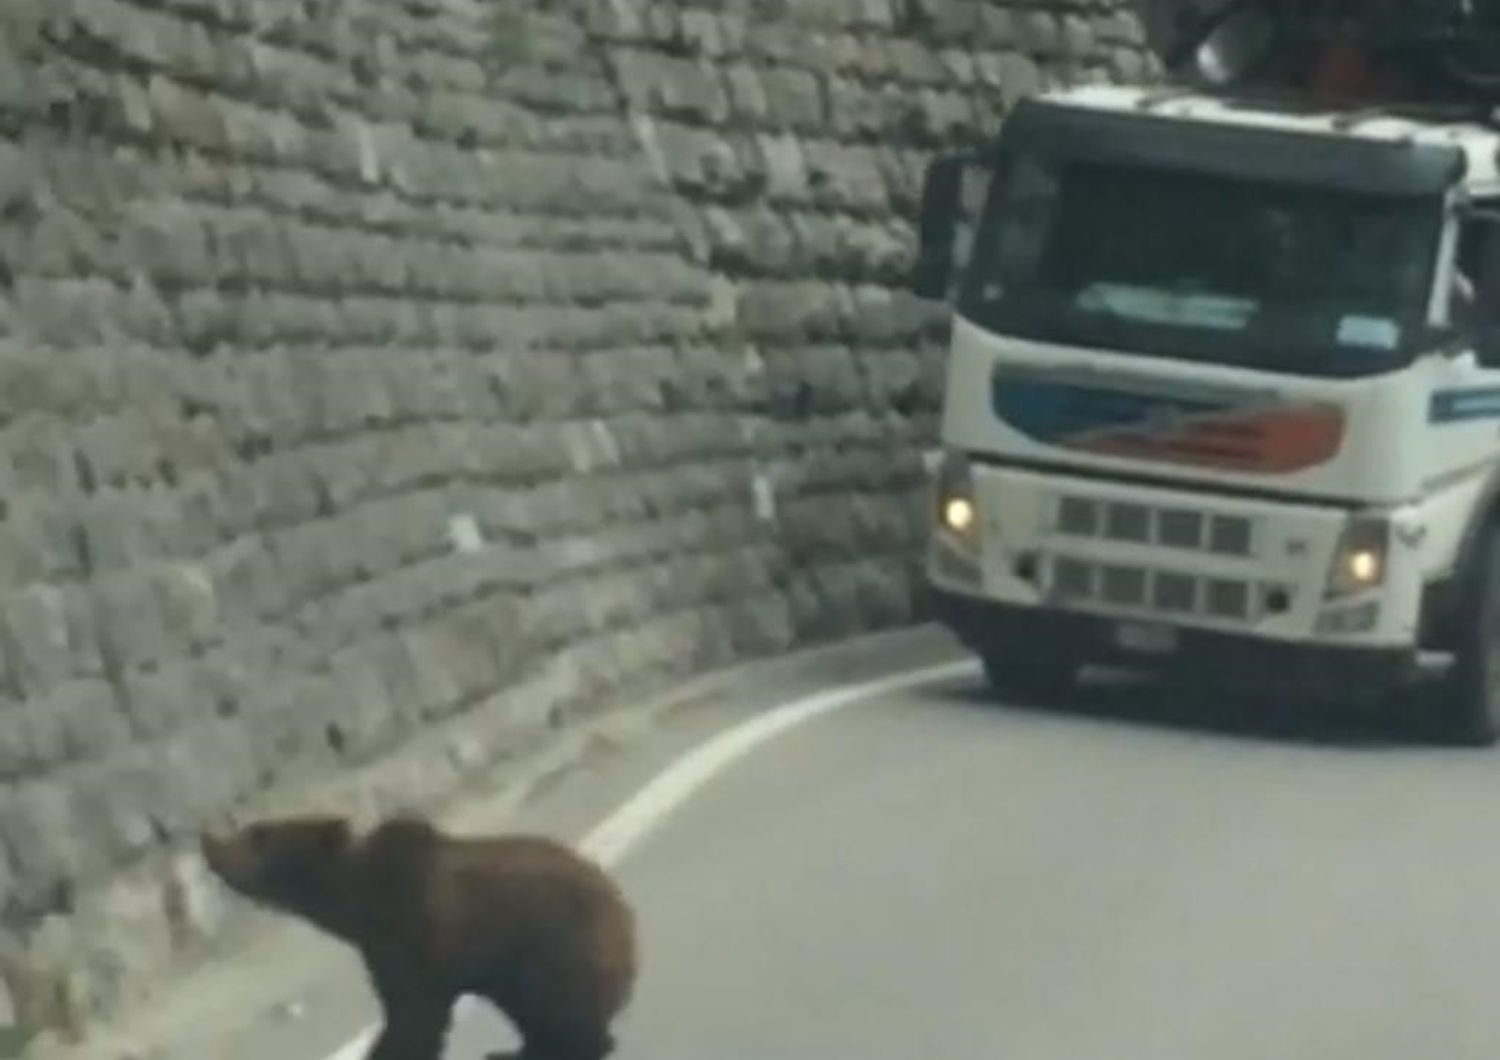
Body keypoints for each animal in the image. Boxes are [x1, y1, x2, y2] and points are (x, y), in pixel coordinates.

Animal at [202, 815, 636, 1055]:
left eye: (257, 834)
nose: (208, 841)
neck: (356, 904)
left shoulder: (410, 935)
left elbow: (414, 1015)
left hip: (556, 947)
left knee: (559, 1008)